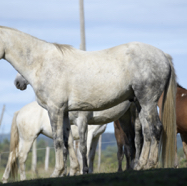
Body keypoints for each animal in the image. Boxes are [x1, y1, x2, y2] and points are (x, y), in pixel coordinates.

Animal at [0, 26, 176, 176]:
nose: (18, 83)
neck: (43, 63)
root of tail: (163, 55)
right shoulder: (64, 112)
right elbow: (67, 143)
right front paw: (69, 172)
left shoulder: (55, 110)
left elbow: (60, 142)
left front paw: (58, 172)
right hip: (140, 105)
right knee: (147, 133)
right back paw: (141, 165)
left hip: (147, 102)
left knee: (154, 130)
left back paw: (148, 164)